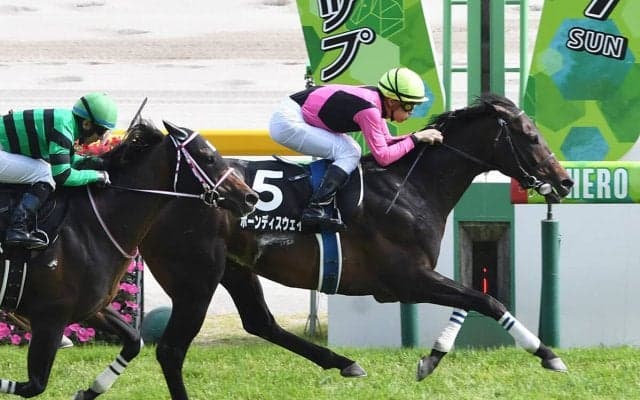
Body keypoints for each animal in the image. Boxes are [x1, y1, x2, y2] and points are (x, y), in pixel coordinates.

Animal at [0, 119, 258, 399]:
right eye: (207, 157)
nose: (250, 197)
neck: (90, 225)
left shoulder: (92, 307)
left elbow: (134, 341)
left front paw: (87, 392)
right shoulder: (50, 316)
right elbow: (33, 385)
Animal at [140, 93, 574, 399]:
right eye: (531, 135)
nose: (565, 181)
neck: (409, 186)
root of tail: (162, 194)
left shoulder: (417, 278)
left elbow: (472, 298)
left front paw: (432, 358)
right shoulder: (407, 278)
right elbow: (485, 300)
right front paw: (547, 354)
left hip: (235, 267)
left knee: (260, 322)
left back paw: (345, 363)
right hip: (196, 278)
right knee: (172, 350)